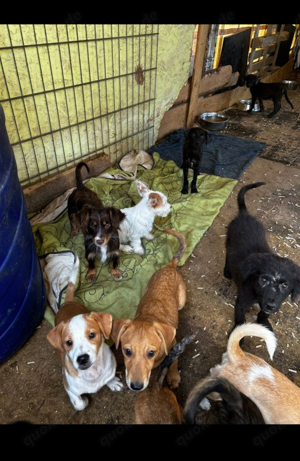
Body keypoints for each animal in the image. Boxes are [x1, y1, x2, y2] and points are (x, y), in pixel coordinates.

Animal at [112, 228, 188, 390]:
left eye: (151, 353)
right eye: (127, 351)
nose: (136, 386)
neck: (147, 318)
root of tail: (170, 266)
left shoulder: (174, 343)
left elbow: (174, 360)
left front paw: (173, 376)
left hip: (181, 302)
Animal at [224, 181, 300, 330]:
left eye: (285, 286)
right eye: (263, 280)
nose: (270, 305)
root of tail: (244, 214)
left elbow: (263, 314)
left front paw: (264, 323)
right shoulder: (241, 302)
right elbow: (240, 319)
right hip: (229, 240)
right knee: (227, 255)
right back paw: (227, 271)